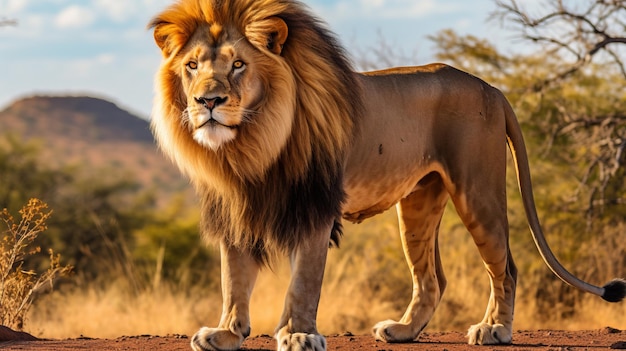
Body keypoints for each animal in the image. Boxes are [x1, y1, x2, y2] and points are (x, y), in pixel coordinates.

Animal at [147, 0, 624, 351]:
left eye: (239, 65)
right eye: (192, 66)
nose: (208, 101)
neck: (250, 144)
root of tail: (492, 87)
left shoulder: (317, 207)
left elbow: (303, 282)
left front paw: (298, 334)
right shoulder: (235, 209)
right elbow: (234, 279)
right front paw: (227, 333)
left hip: (478, 193)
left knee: (505, 267)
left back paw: (496, 330)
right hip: (417, 205)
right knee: (432, 279)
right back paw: (403, 331)